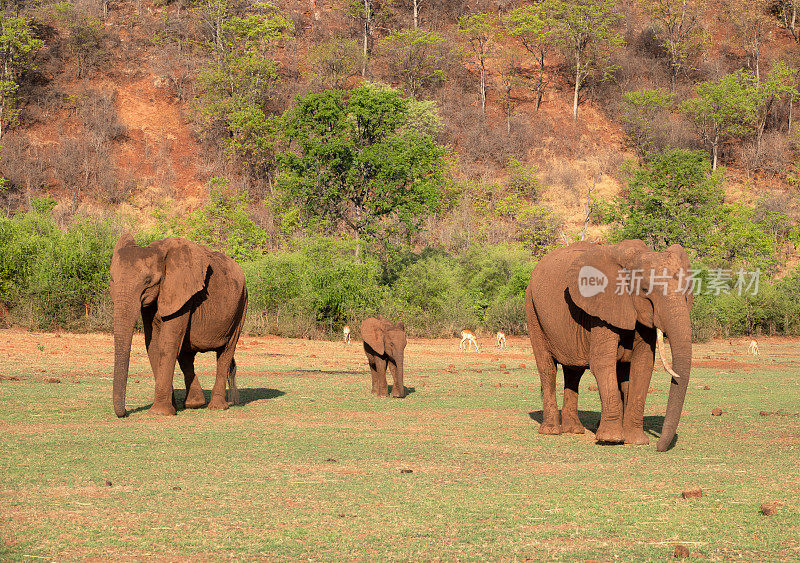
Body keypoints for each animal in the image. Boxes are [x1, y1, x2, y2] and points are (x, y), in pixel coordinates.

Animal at [109, 235, 247, 418]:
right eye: (112, 279)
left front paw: (159, 412)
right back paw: (194, 403)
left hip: (241, 306)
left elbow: (168, 342)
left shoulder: (182, 294)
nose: (125, 413)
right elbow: (152, 344)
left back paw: (217, 407)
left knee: (226, 352)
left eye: (148, 281)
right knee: (186, 355)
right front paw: (171, 408)